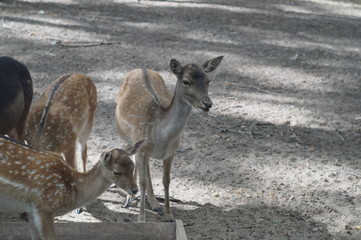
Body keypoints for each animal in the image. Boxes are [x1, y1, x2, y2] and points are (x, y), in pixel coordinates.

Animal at [114, 55, 222, 221]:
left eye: (208, 80)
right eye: (186, 81)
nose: (207, 103)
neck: (160, 138)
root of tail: (140, 69)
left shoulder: (171, 152)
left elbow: (166, 180)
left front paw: (169, 214)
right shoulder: (142, 150)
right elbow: (142, 181)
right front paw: (141, 218)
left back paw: (154, 203)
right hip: (124, 133)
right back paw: (130, 197)